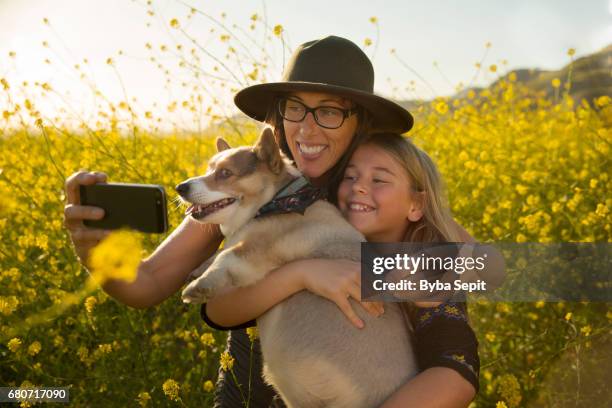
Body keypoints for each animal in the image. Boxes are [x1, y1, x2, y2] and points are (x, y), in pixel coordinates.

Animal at [175, 129, 418, 408]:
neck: (279, 200)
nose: (180, 187)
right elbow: (217, 253)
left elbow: (226, 256)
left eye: (225, 173)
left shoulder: (255, 251)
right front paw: (198, 269)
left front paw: (199, 286)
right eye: (209, 168)